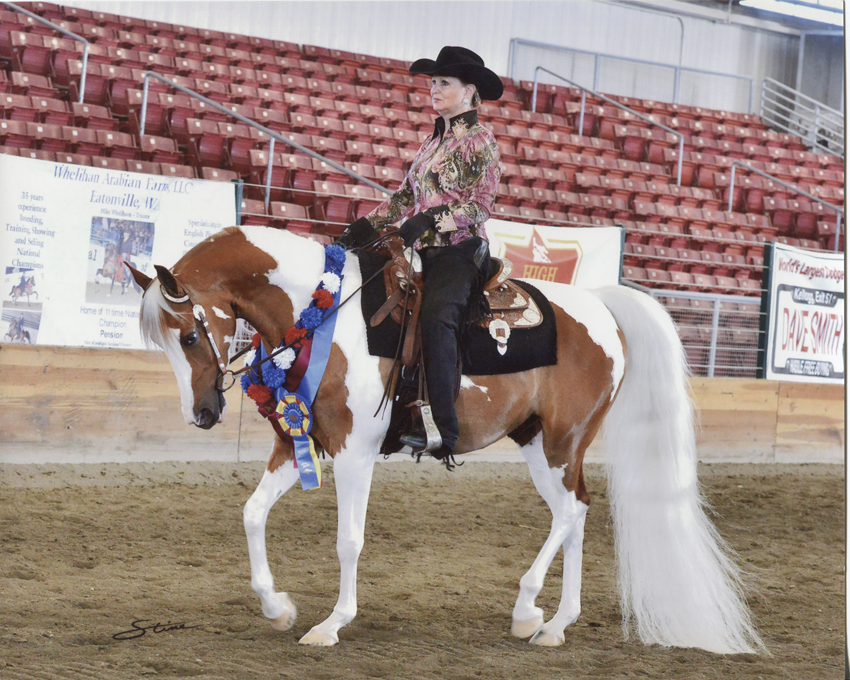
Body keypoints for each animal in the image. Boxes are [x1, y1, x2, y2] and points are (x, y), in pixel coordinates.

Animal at [131, 227, 760, 652]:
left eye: (189, 336)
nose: (202, 413)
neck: (322, 313)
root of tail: (602, 304)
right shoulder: (298, 445)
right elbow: (252, 514)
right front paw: (277, 606)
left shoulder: (355, 451)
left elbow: (348, 541)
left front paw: (331, 623)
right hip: (539, 443)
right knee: (577, 511)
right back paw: (556, 623)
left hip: (562, 442)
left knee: (569, 512)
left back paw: (527, 608)